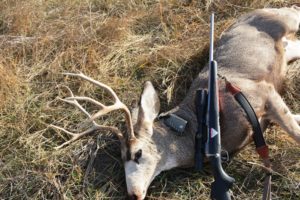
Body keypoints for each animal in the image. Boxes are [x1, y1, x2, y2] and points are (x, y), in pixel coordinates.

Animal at [50, 5, 300, 199]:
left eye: (137, 153)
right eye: (121, 159)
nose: (133, 194)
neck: (193, 126)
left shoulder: (262, 92)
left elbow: (295, 132)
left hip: (286, 20)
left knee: (294, 9)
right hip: (287, 49)